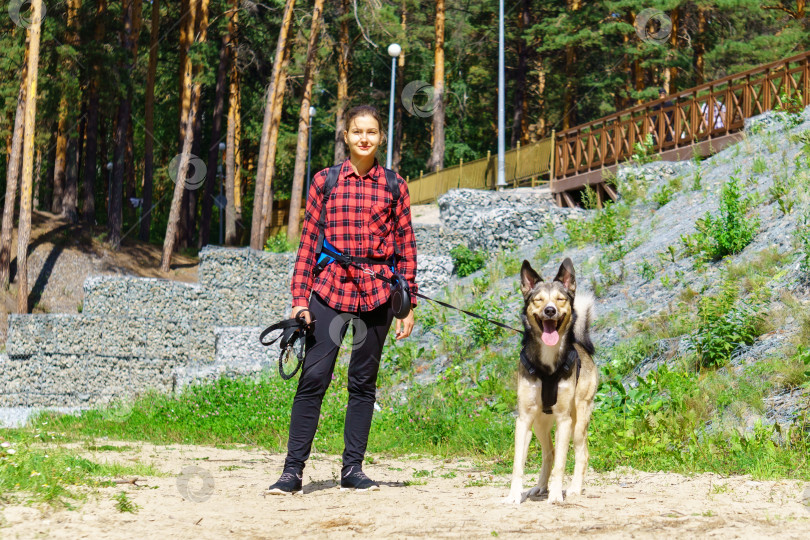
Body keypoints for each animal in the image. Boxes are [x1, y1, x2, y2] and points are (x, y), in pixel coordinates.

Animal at [502, 256, 596, 502]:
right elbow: (518, 464)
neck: (547, 361)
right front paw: (514, 495)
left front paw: (555, 495)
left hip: (578, 422)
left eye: (560, 299)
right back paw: (539, 487)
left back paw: (573, 488)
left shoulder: (564, 420)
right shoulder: (524, 419)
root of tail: (581, 346)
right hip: (539, 424)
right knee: (549, 453)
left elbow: (561, 464)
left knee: (582, 454)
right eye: (538, 299)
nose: (550, 310)